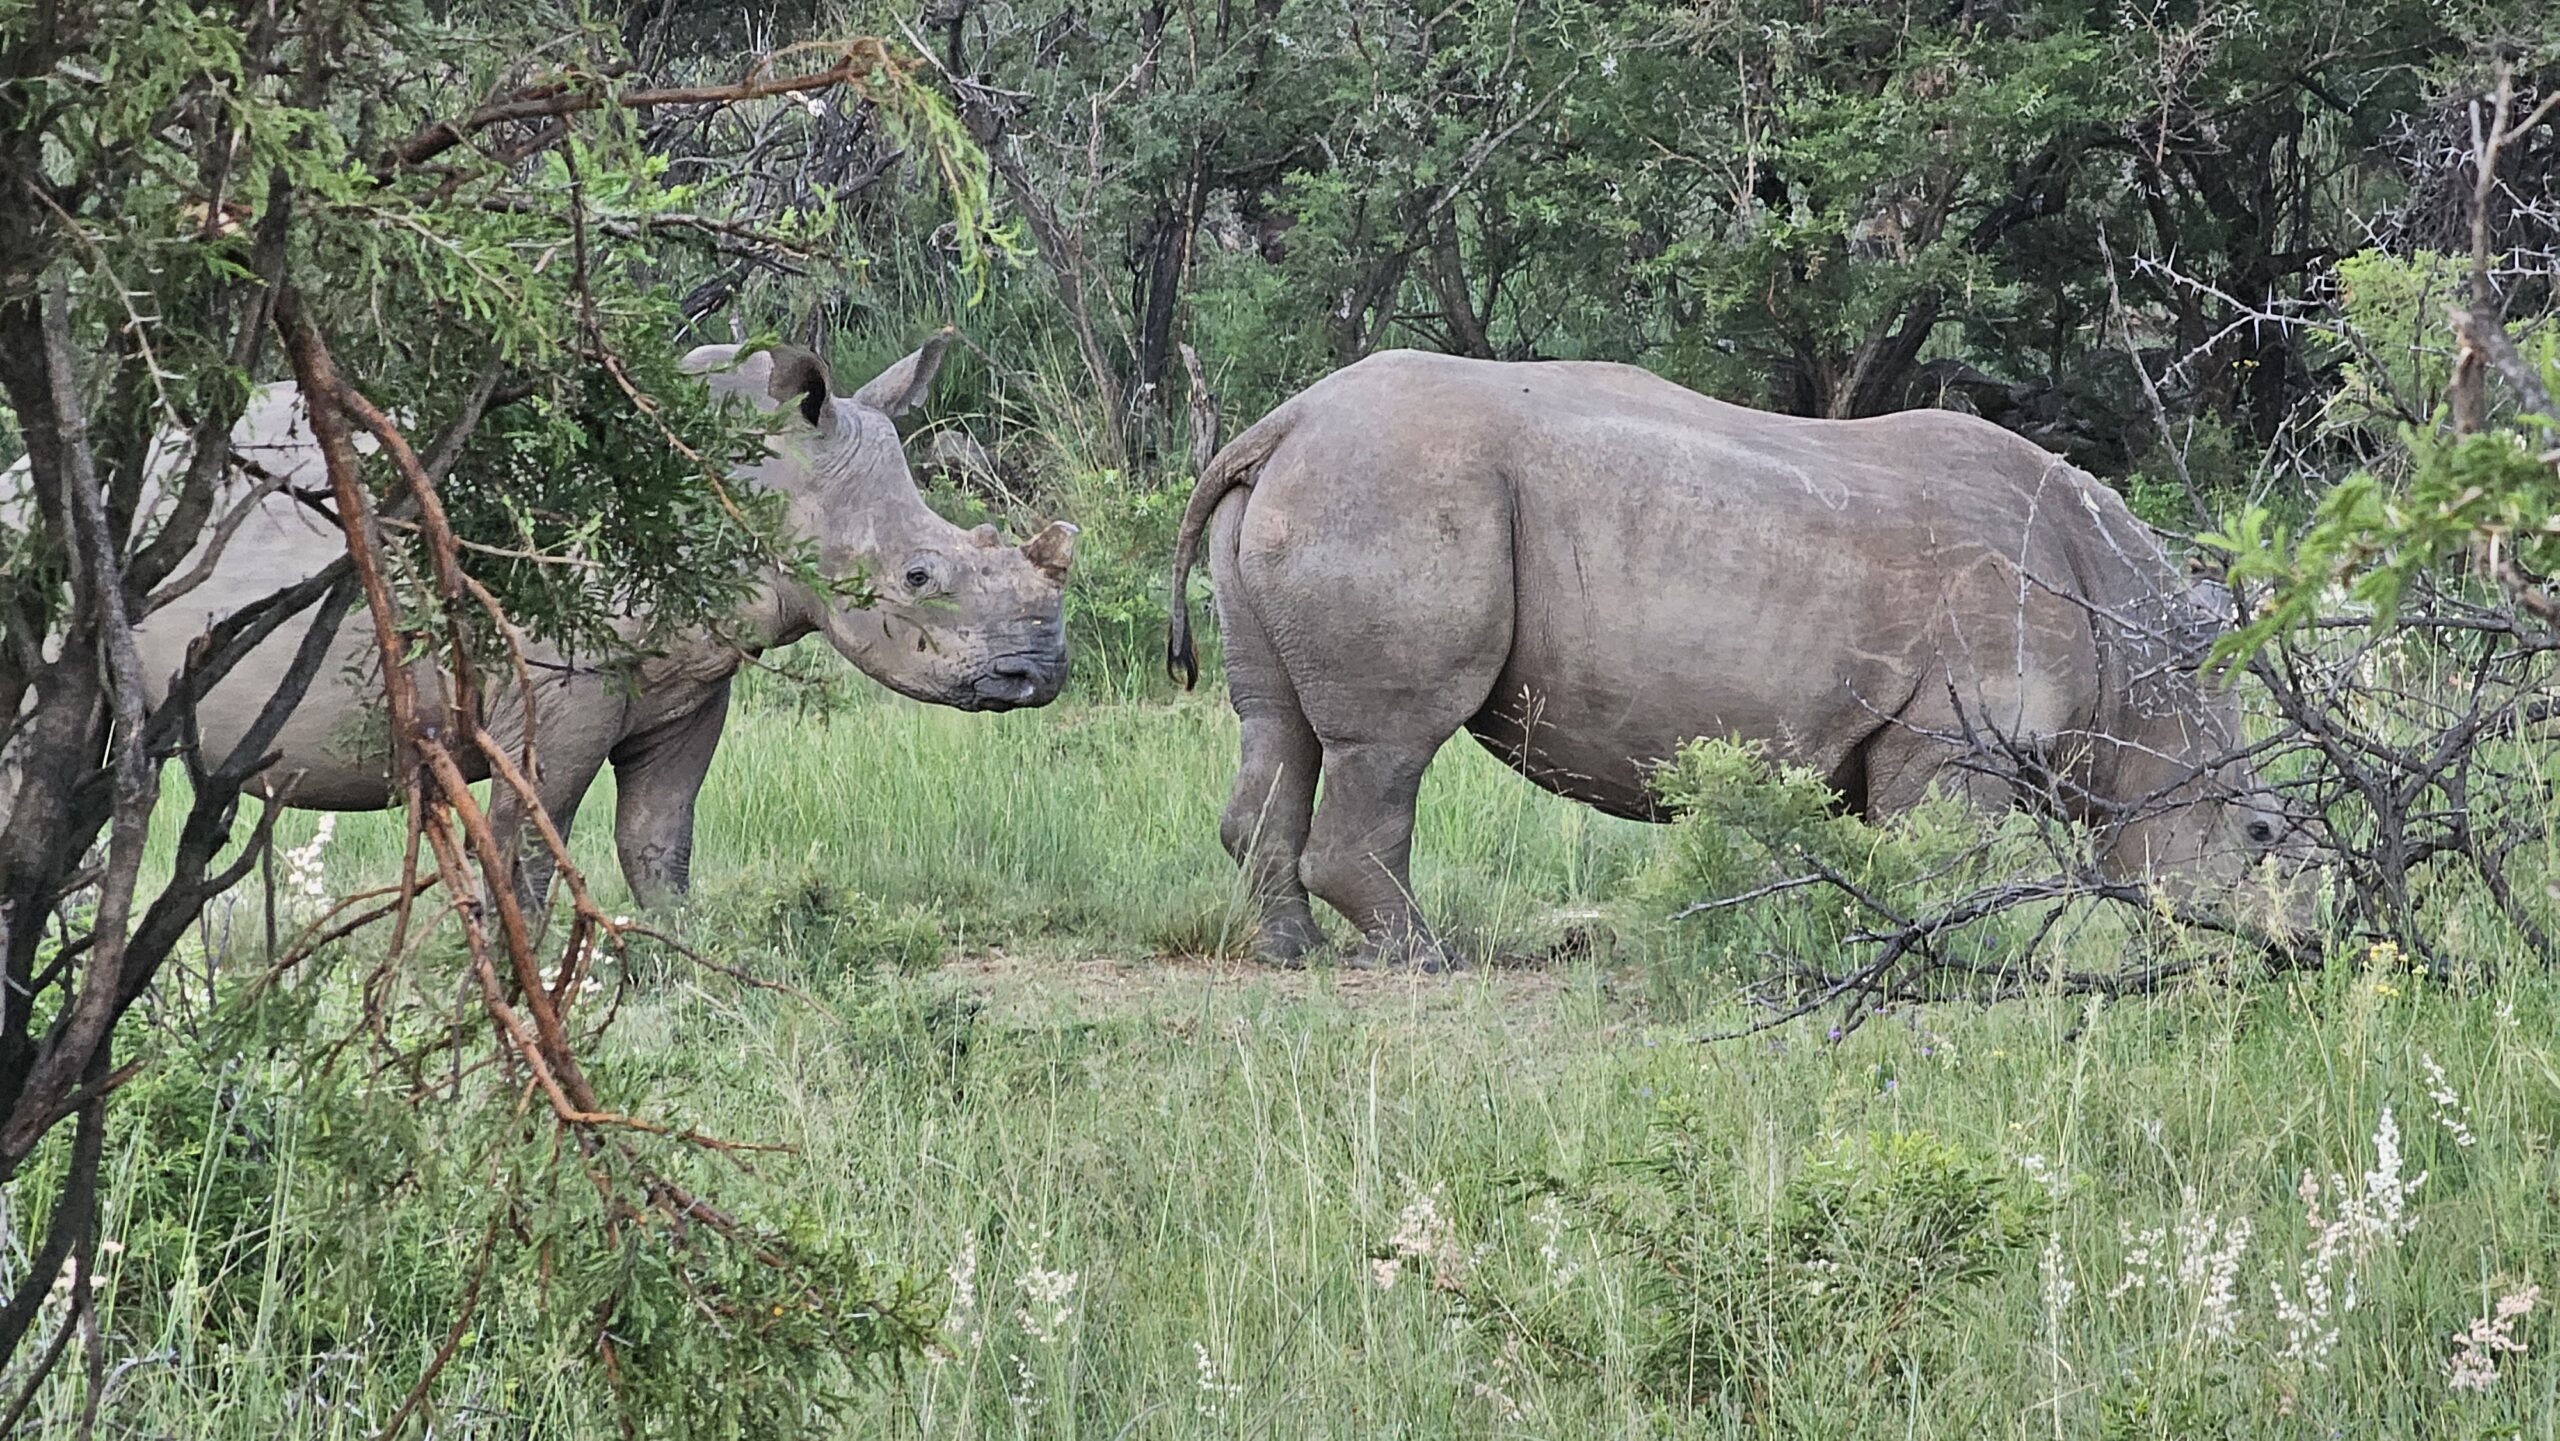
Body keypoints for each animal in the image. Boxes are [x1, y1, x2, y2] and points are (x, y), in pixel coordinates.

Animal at [106, 336, 1076, 909]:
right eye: (918, 576)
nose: (1039, 675)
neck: (762, 479)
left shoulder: (694, 677)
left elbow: (659, 839)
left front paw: (681, 972)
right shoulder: (557, 684)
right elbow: (528, 851)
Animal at [1167, 350, 2302, 968]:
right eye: (2257, 831)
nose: (2275, 949)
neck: (2135, 654)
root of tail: (1283, 422)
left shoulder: (1892, 734)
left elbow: (1877, 855)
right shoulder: (1953, 732)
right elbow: (1940, 857)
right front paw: (1953, 953)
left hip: (1324, 491)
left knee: (1278, 723)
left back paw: (1292, 951)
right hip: (1395, 491)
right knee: (1392, 743)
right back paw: (1423, 958)